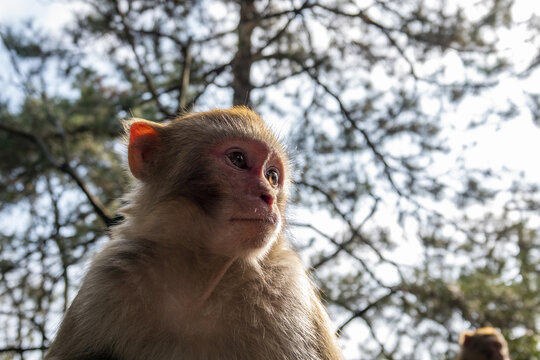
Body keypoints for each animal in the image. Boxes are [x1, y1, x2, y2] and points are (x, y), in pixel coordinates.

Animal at [46, 107, 342, 360]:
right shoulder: (108, 278)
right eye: (238, 159)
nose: (268, 196)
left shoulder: (288, 293)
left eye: (272, 176)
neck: (200, 274)